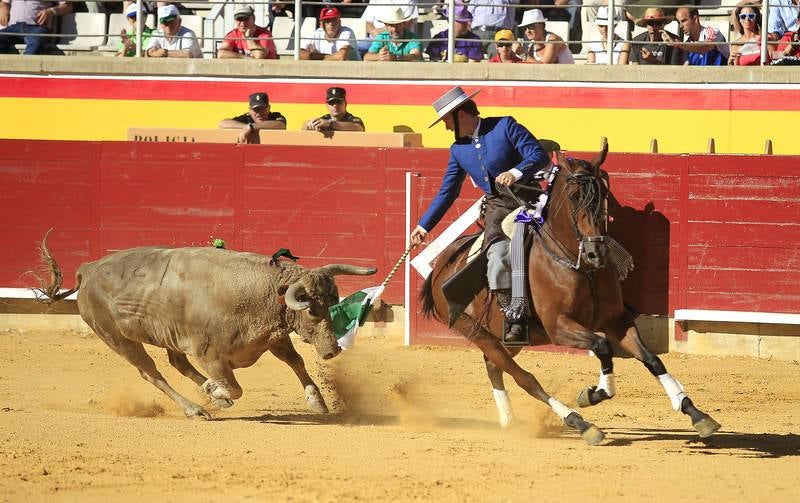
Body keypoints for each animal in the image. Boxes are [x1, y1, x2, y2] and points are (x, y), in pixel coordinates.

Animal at [32, 232, 376, 422]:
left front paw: (317, 402)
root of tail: (89, 268)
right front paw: (214, 389)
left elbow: (296, 362)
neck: (259, 291)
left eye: (331, 302)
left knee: (176, 362)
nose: (332, 351)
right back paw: (196, 408)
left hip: (165, 335)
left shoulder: (272, 338)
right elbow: (235, 386)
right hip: (118, 339)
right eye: (312, 310)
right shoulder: (211, 355)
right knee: (151, 372)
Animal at [422, 140, 720, 446]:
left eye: (603, 193)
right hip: (476, 331)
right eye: (575, 196)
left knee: (495, 367)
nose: (595, 252)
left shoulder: (616, 320)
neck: (580, 267)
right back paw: (579, 422)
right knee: (524, 377)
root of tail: (441, 265)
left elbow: (652, 359)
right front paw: (593, 394)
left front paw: (695, 413)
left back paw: (510, 421)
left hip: (509, 338)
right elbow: (602, 347)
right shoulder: (560, 327)